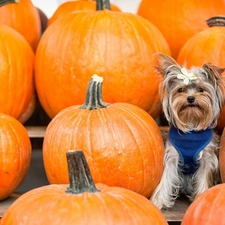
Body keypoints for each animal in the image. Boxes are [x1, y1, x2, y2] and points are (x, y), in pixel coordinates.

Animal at [150, 52, 224, 209]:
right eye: (181, 90)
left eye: (201, 89)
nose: (190, 98)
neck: (191, 124)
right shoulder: (172, 156)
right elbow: (166, 179)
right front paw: (158, 201)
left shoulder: (207, 158)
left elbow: (203, 178)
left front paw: (201, 198)